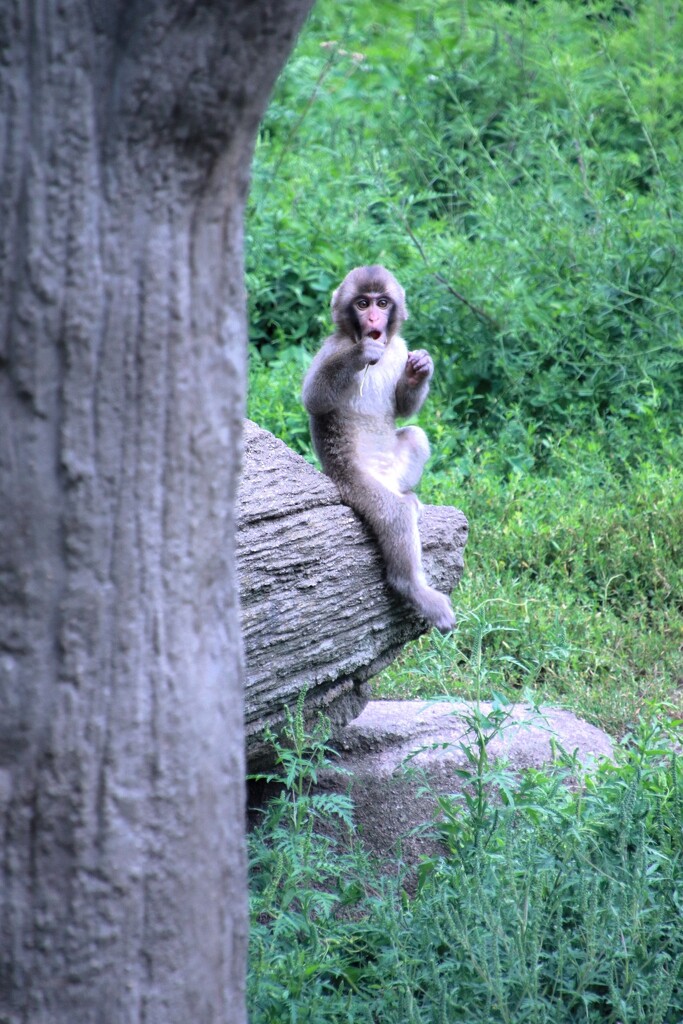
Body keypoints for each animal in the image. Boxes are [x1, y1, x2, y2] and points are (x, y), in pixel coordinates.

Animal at [303, 264, 454, 630]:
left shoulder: (400, 347)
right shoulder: (333, 348)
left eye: (382, 303)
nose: (373, 318)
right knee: (394, 514)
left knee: (416, 436)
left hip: (395, 471)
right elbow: (314, 399)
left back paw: (409, 495)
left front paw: (420, 370)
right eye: (362, 303)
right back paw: (414, 588)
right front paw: (361, 355)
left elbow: (403, 409)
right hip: (358, 486)